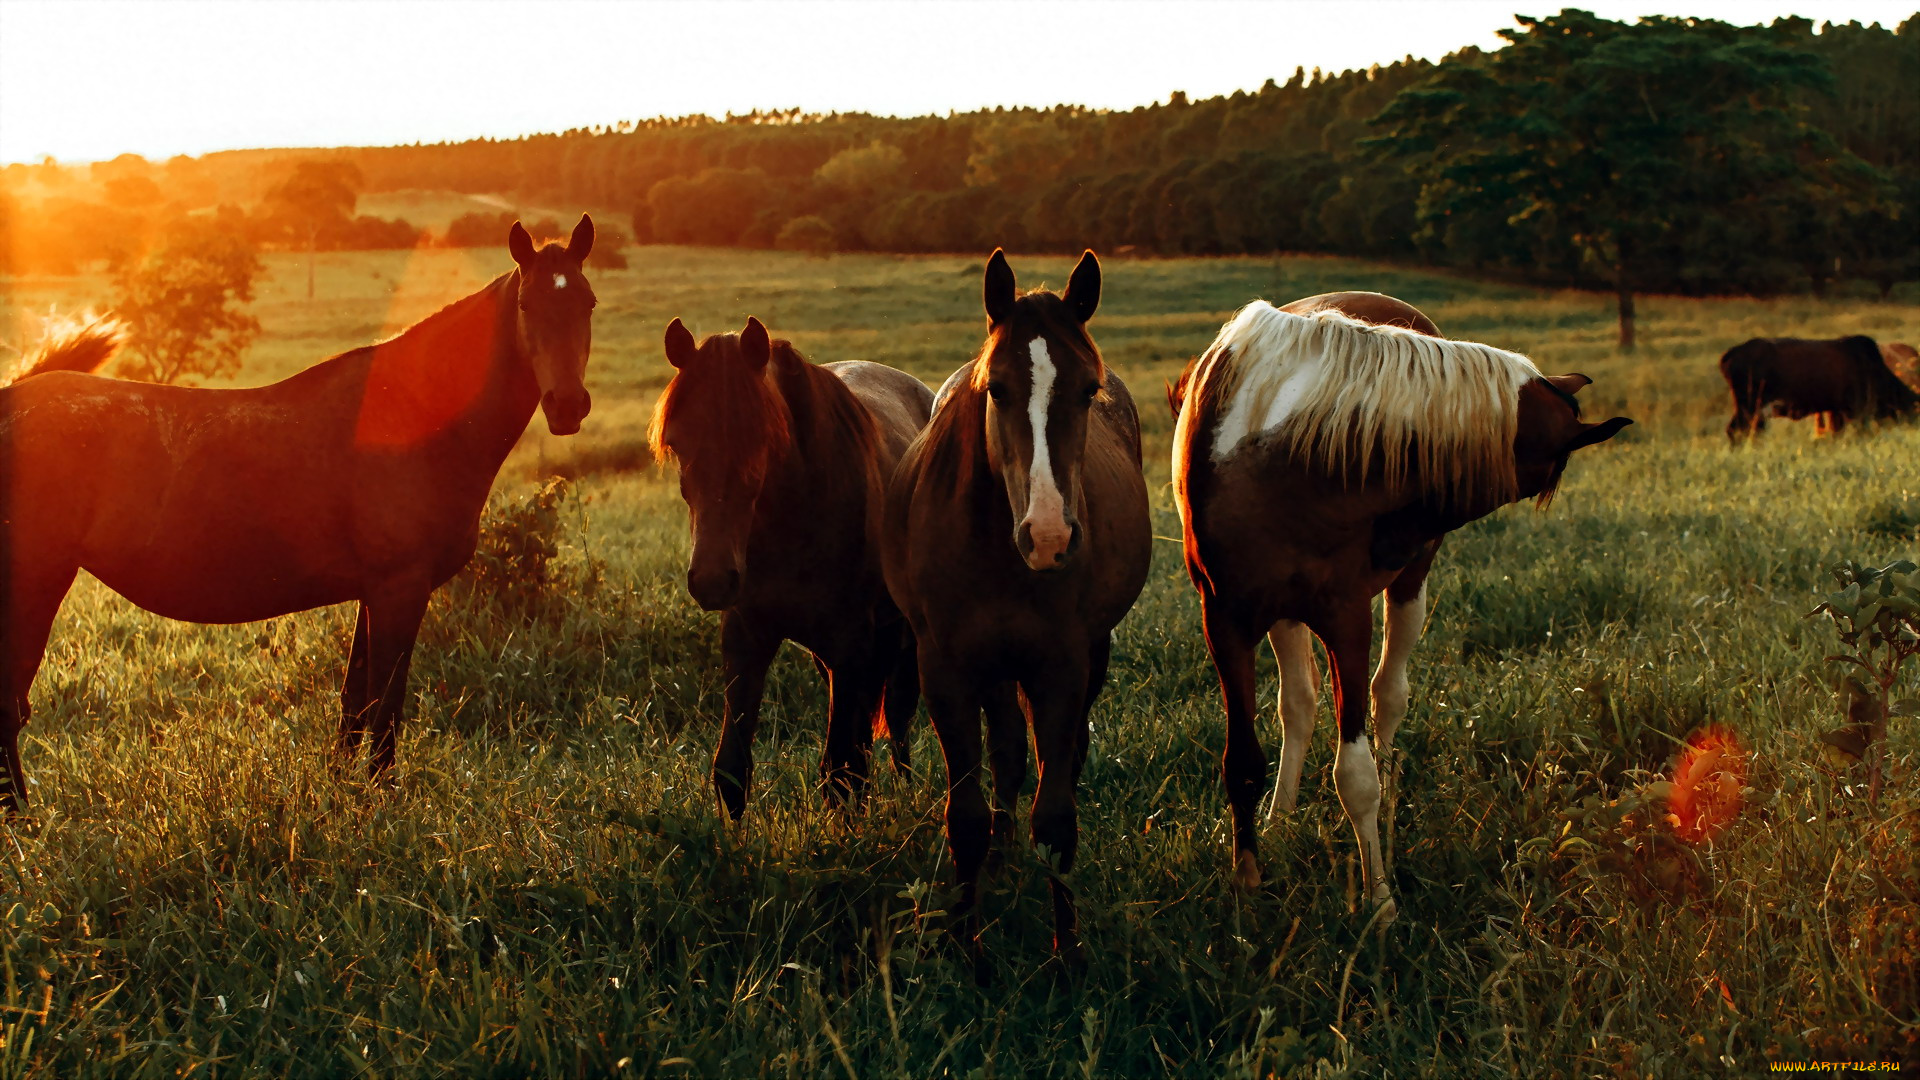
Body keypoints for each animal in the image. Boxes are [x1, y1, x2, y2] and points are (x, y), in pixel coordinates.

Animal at [0, 214, 595, 803]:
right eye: (527, 305)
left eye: (587, 302)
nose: (567, 405)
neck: (413, 414)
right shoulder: (400, 587)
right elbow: (386, 703)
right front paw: (381, 795)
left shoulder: (373, 591)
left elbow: (356, 701)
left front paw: (342, 790)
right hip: (35, 582)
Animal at [648, 315, 933, 810]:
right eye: (677, 442)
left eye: (760, 438)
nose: (712, 580)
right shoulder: (747, 637)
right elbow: (731, 771)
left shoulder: (850, 640)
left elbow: (840, 774)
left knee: (896, 720)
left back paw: (907, 791)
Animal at [879, 251, 1136, 968]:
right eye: (995, 389)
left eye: (1088, 390)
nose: (1048, 537)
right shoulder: (946, 670)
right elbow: (965, 813)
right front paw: (966, 945)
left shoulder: (1062, 666)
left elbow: (1055, 817)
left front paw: (1067, 951)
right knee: (1008, 755)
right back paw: (997, 857)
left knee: (1059, 757)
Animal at [1159, 288, 1628, 914]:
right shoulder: (1227, 619)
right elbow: (1242, 762)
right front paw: (1248, 884)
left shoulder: (1347, 618)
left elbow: (1357, 775)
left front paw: (1379, 900)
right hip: (1282, 613)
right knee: (1299, 705)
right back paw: (1282, 816)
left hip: (1407, 588)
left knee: (1388, 696)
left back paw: (1388, 800)